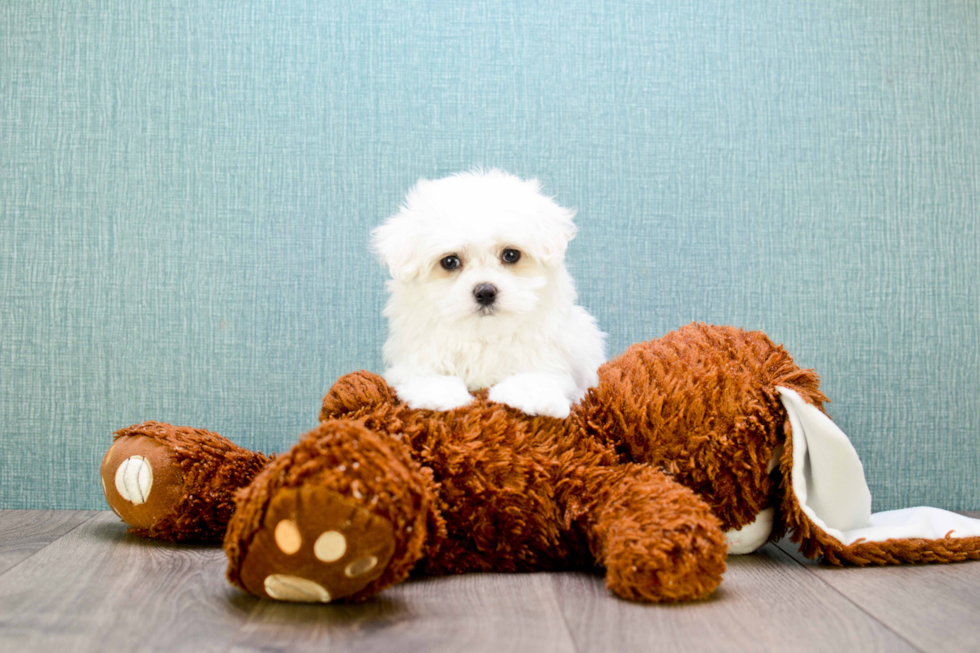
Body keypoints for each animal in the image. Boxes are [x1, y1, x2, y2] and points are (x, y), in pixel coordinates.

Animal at [372, 169, 604, 418]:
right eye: (450, 261)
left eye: (511, 255)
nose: (485, 292)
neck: (484, 336)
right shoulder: (415, 357)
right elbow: (424, 375)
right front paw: (440, 395)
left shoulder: (550, 355)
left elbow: (539, 374)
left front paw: (531, 395)